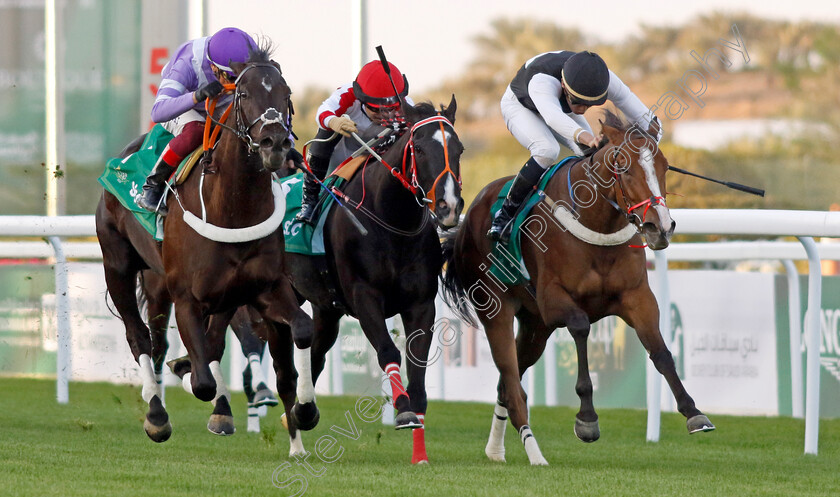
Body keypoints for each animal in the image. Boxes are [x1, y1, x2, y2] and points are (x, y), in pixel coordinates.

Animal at [95, 45, 318, 450]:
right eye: (243, 93)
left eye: (286, 93)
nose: (276, 144)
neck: (233, 208)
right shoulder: (186, 296)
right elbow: (201, 382)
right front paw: (189, 378)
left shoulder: (265, 286)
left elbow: (303, 329)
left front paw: (304, 413)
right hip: (117, 263)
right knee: (140, 339)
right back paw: (157, 414)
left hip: (180, 287)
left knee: (181, 342)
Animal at [288, 98, 460, 464]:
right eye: (419, 148)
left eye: (460, 149)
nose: (449, 207)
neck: (392, 220)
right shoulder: (364, 297)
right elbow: (387, 350)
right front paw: (403, 411)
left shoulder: (421, 305)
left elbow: (418, 371)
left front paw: (419, 453)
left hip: (326, 309)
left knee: (316, 354)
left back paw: (301, 411)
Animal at [440, 112, 716, 464]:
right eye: (625, 167)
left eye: (665, 166)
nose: (661, 227)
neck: (597, 223)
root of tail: (472, 211)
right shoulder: (554, 300)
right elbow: (581, 327)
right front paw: (587, 419)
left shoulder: (637, 297)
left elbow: (661, 352)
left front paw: (693, 412)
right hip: (497, 310)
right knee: (512, 381)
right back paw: (533, 453)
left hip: (535, 327)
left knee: (506, 383)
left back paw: (496, 449)